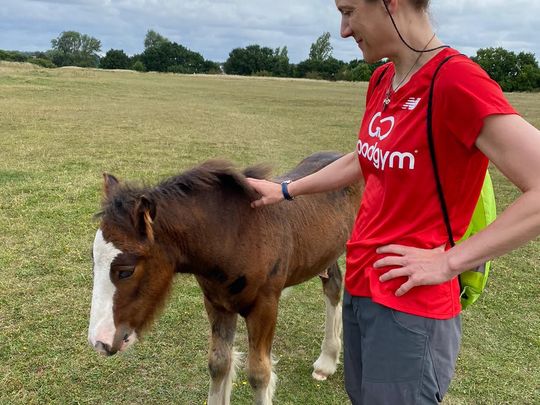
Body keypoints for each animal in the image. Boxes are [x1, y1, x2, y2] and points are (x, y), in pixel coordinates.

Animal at [89, 152, 362, 404]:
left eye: (126, 270)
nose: (99, 342)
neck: (234, 234)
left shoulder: (265, 306)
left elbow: (259, 374)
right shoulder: (217, 304)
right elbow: (219, 363)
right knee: (332, 286)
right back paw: (326, 363)